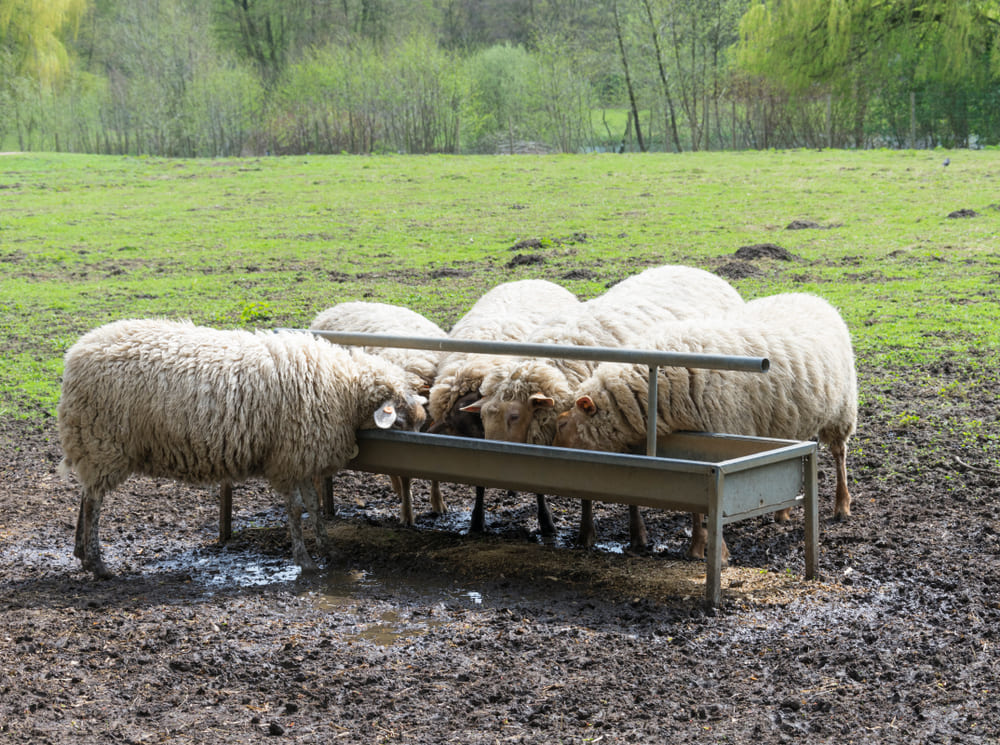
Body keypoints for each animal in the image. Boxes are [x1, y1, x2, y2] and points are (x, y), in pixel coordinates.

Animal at [58, 316, 426, 580]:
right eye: (403, 420)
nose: (411, 477)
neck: (342, 387)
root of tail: (77, 353)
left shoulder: (302, 458)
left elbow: (313, 505)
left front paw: (328, 550)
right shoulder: (288, 459)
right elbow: (295, 509)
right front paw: (304, 560)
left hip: (93, 445)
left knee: (86, 494)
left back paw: (80, 553)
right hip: (104, 442)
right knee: (94, 502)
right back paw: (98, 564)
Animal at [310, 300, 448, 524]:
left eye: (421, 420)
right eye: (399, 424)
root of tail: (338, 305)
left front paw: (438, 502)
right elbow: (405, 472)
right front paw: (407, 514)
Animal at [552, 294, 856, 560]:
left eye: (563, 423)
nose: (551, 451)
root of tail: (814, 297)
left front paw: (708, 549)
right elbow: (695, 507)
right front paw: (697, 546)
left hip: (842, 409)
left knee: (839, 454)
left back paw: (842, 505)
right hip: (788, 418)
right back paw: (782, 513)